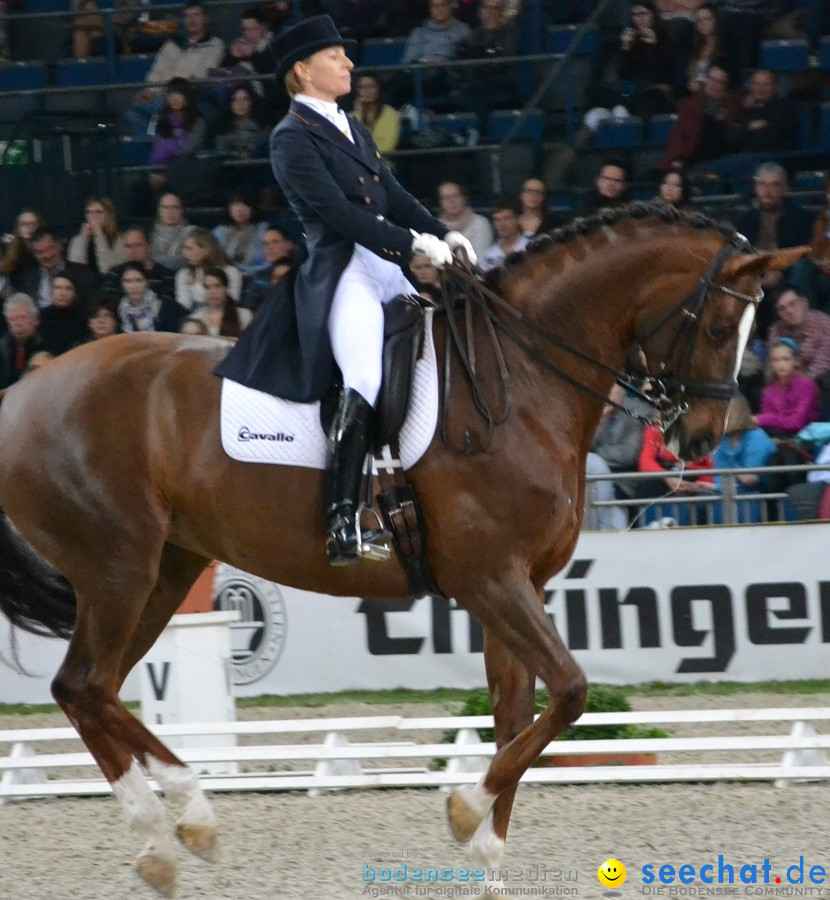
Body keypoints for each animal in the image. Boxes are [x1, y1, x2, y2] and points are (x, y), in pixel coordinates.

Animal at [0, 207, 808, 896]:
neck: (524, 380)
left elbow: (518, 715)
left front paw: (488, 864)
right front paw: (461, 809)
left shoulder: (518, 585)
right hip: (118, 569)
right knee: (84, 684)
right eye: (721, 325)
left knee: (91, 690)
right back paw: (184, 820)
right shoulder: (491, 579)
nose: (699, 441)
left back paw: (171, 834)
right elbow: (573, 692)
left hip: (164, 570)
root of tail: (23, 390)